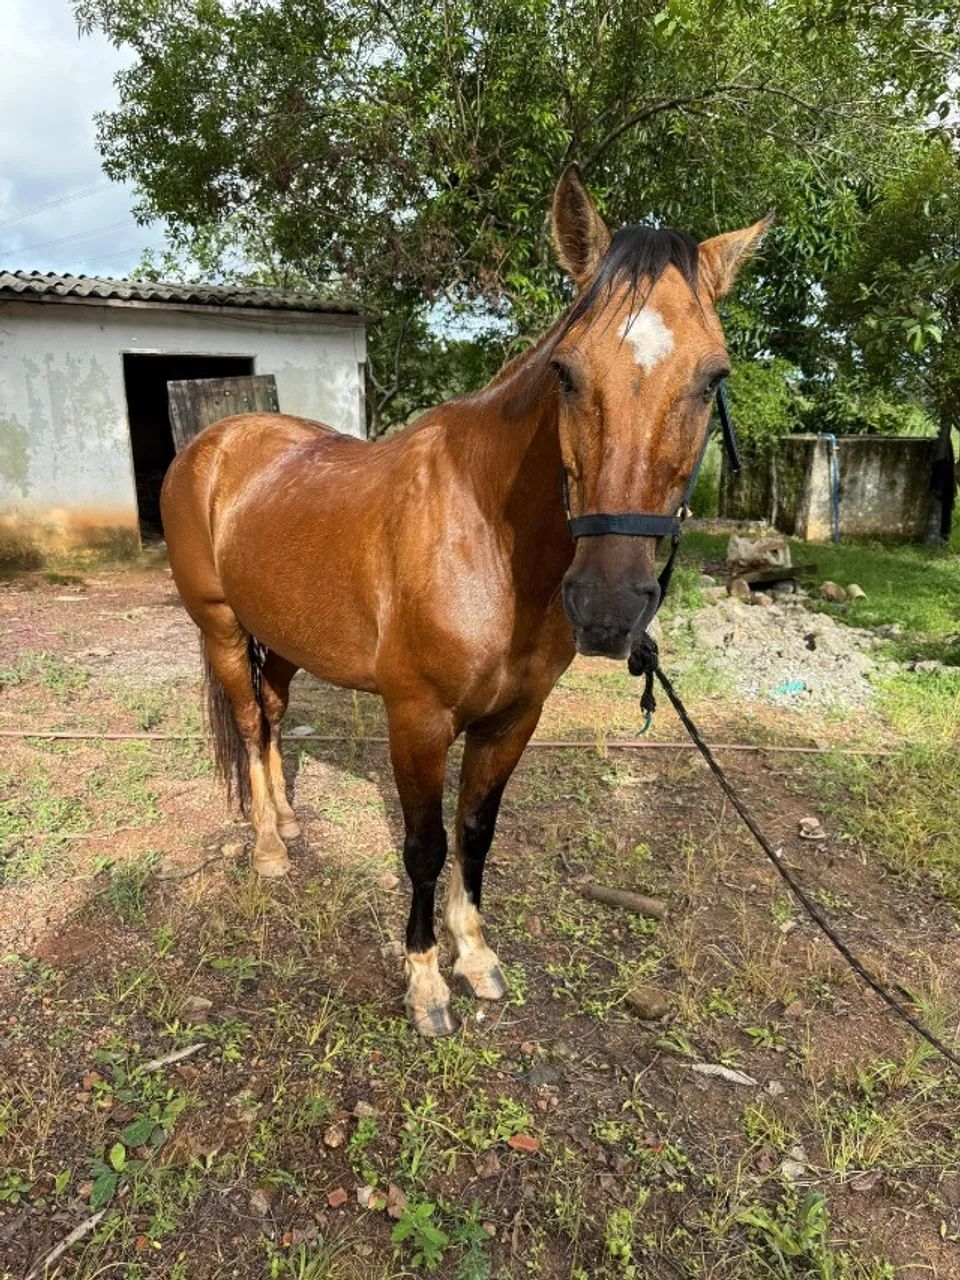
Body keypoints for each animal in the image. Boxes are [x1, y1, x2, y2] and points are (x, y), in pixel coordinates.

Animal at [160, 165, 768, 1037]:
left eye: (714, 376)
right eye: (566, 371)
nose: (608, 607)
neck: (487, 536)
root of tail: (217, 442)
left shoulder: (513, 720)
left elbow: (475, 835)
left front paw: (476, 957)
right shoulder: (416, 719)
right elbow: (423, 846)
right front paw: (424, 982)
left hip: (283, 637)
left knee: (272, 719)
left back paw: (288, 822)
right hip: (218, 627)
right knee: (247, 724)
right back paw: (270, 849)